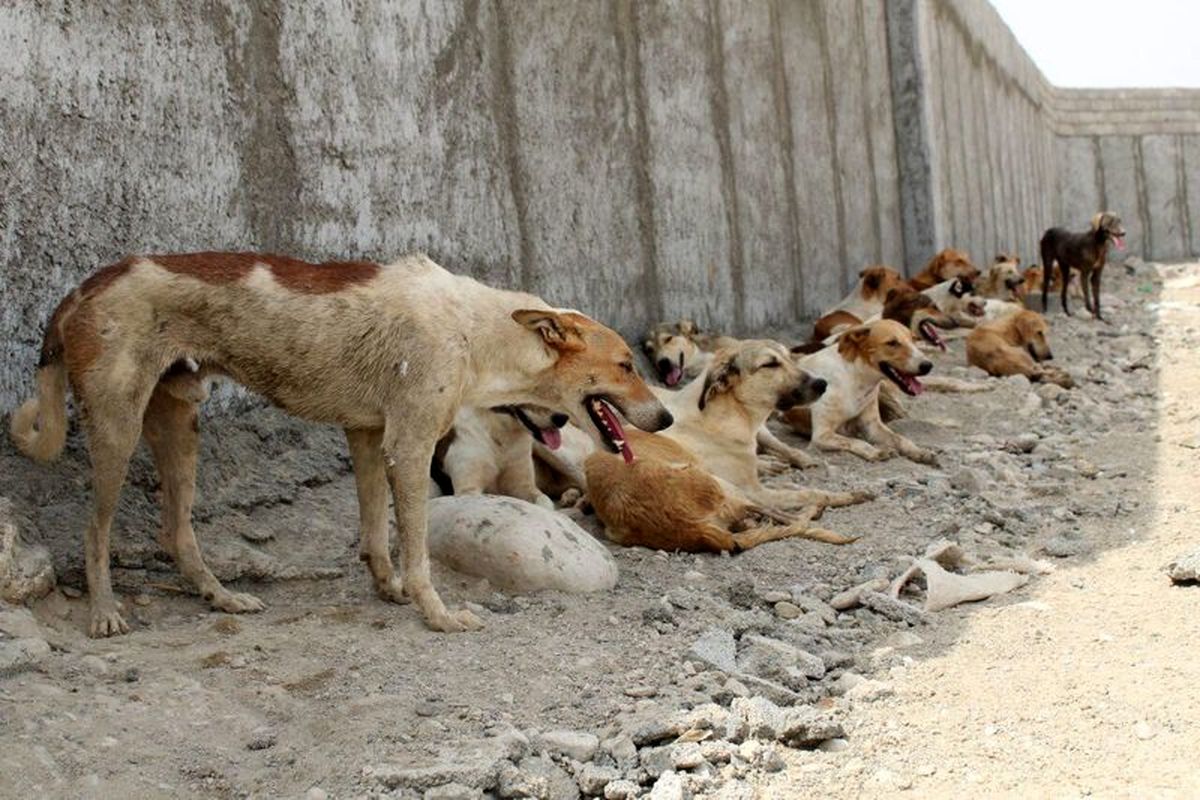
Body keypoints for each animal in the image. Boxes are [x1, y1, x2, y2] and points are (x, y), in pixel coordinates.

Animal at [11, 251, 676, 638]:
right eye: (625, 364)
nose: (668, 416)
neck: (475, 330)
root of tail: (82, 289)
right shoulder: (408, 444)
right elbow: (416, 550)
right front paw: (436, 614)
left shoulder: (367, 435)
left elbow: (376, 535)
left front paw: (389, 590)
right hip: (117, 431)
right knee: (94, 531)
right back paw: (104, 612)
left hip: (179, 426)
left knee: (174, 531)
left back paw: (221, 598)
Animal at [782, 321, 940, 465]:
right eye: (892, 343)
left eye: (913, 339)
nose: (928, 365)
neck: (855, 378)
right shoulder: (822, 435)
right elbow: (856, 441)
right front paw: (876, 451)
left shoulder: (872, 426)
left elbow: (900, 438)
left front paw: (920, 452)